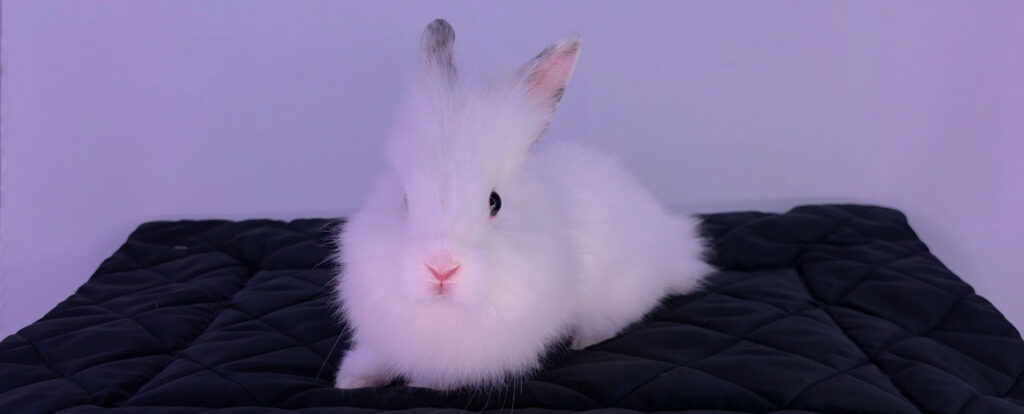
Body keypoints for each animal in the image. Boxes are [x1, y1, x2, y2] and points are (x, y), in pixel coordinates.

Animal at [333, 19, 712, 391]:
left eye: (495, 202)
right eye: (405, 199)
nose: (441, 268)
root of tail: (670, 237)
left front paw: (424, 383)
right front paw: (352, 379)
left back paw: (582, 340)